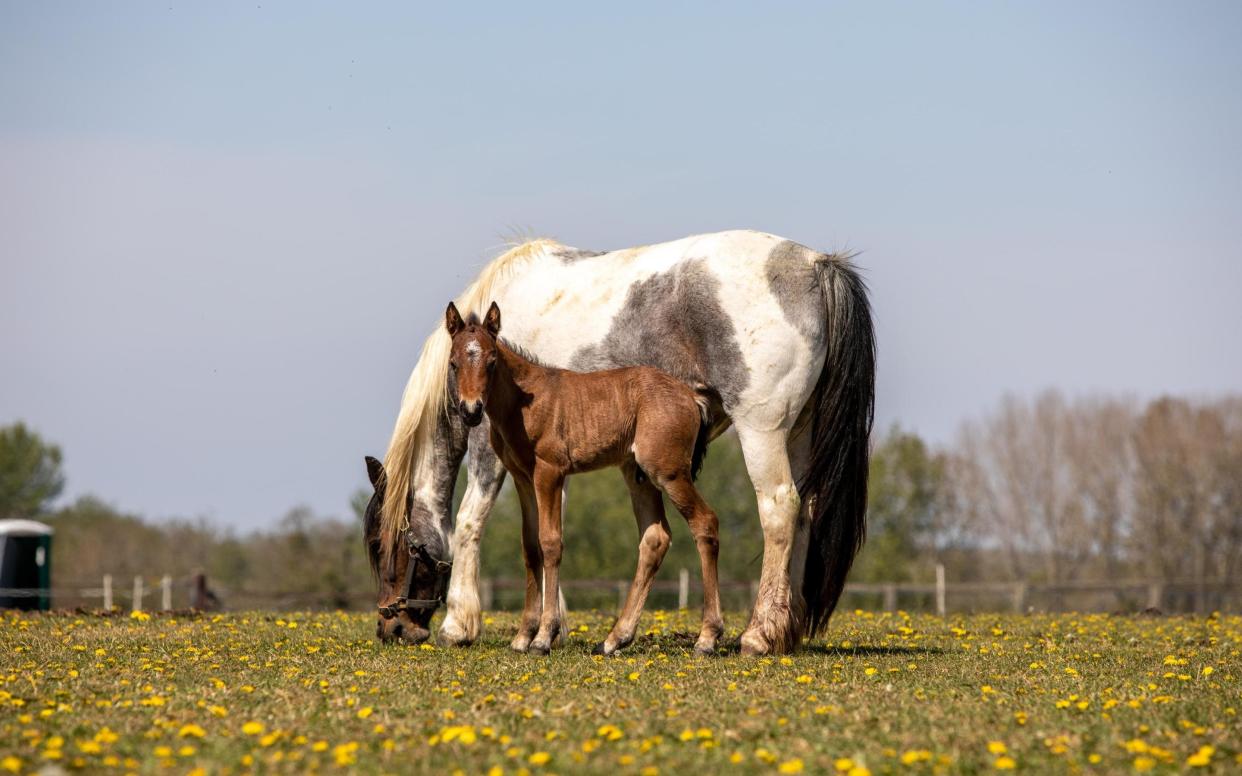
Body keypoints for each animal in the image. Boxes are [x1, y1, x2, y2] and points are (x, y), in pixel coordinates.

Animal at [447, 297, 725, 655]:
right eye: (454, 363)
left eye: (492, 361)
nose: (471, 411)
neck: (523, 402)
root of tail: (691, 396)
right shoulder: (522, 478)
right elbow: (530, 546)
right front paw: (522, 637)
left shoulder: (550, 471)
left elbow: (550, 542)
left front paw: (543, 637)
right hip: (639, 475)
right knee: (655, 538)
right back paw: (615, 638)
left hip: (669, 472)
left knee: (705, 522)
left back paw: (707, 638)